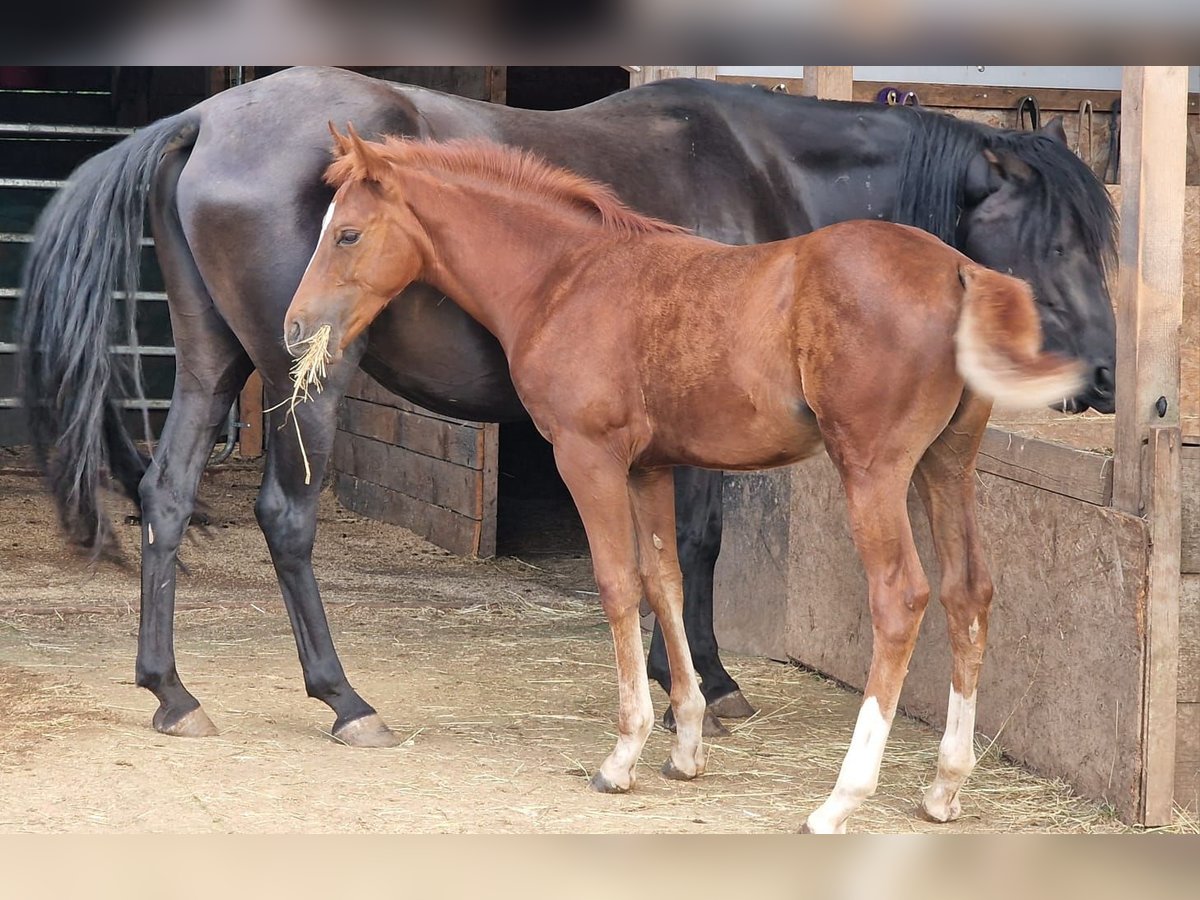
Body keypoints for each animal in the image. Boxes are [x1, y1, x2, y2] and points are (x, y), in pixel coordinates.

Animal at [285, 130, 1084, 835]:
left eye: (347, 234)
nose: (294, 329)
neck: (565, 279)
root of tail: (960, 270)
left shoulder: (588, 458)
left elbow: (616, 584)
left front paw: (624, 754)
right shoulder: (650, 468)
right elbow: (663, 581)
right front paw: (687, 745)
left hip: (873, 469)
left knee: (901, 598)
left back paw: (840, 800)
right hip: (947, 466)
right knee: (967, 591)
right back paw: (945, 788)